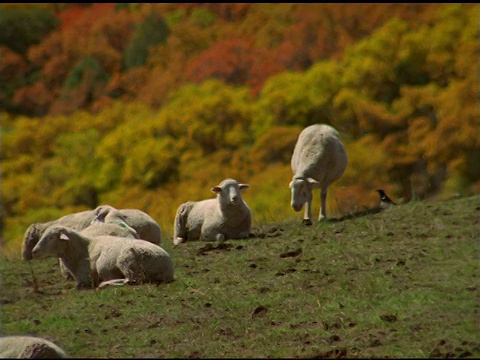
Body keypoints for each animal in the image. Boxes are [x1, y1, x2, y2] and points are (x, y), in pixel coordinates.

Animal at [31, 225, 174, 290]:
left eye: (51, 237)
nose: (34, 251)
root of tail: (168, 268)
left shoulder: (86, 279)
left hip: (127, 260)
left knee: (131, 280)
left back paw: (105, 283)